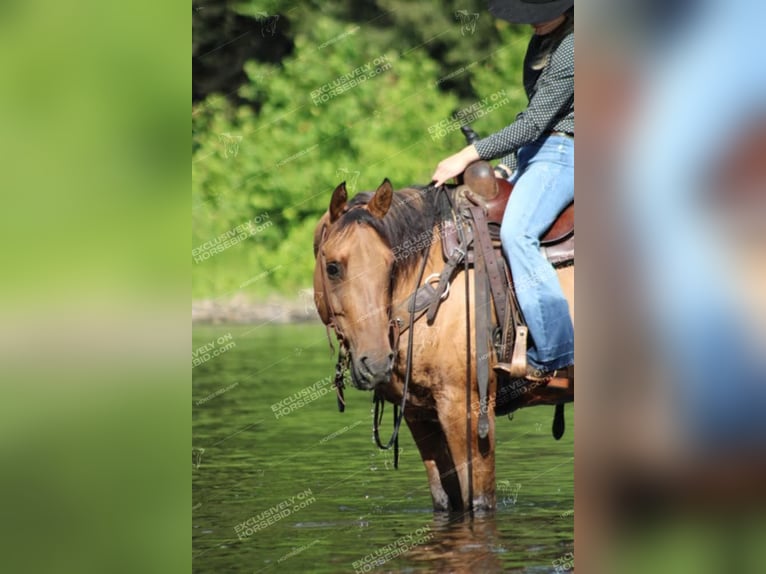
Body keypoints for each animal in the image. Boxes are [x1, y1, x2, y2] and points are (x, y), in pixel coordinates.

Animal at [314, 163, 576, 512]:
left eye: (389, 264)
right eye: (332, 268)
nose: (378, 363)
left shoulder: (467, 409)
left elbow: (478, 501)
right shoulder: (420, 415)